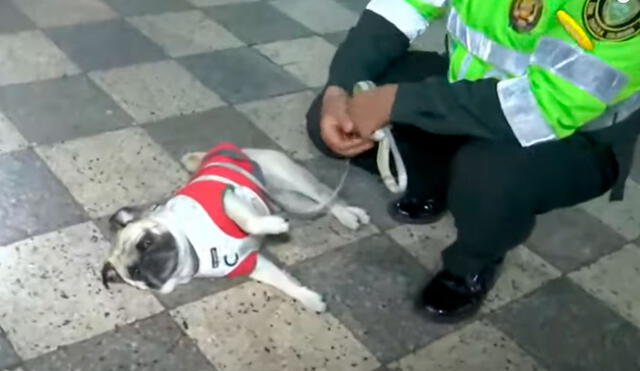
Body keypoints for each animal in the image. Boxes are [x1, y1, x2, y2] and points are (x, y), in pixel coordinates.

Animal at [101, 143, 370, 314]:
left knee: (326, 195)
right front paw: (309, 298)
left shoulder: (227, 198)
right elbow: (283, 282)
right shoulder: (253, 265)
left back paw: (349, 215)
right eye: (135, 273)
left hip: (293, 179)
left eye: (146, 242)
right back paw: (351, 215)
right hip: (289, 199)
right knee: (323, 205)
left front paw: (272, 226)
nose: (147, 265)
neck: (191, 247)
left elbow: (247, 220)